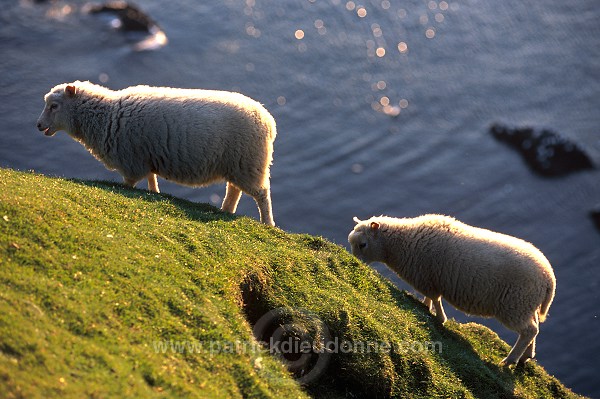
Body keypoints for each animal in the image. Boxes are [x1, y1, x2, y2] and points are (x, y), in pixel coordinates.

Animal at [37, 81, 278, 225]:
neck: (106, 116)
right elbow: (152, 178)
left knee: (262, 194)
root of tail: (268, 121)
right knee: (234, 190)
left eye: (54, 106)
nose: (38, 125)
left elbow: (129, 184)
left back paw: (267, 223)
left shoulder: (131, 161)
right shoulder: (145, 157)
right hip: (236, 164)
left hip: (249, 163)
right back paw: (226, 210)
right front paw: (155, 193)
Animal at [346, 216, 556, 366]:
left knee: (529, 330)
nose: (354, 261)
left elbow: (435, 299)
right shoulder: (430, 280)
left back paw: (510, 360)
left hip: (514, 304)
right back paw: (526, 356)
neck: (402, 243)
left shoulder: (427, 279)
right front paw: (425, 306)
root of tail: (548, 278)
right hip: (526, 305)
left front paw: (439, 318)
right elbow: (431, 299)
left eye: (362, 244)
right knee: (534, 329)